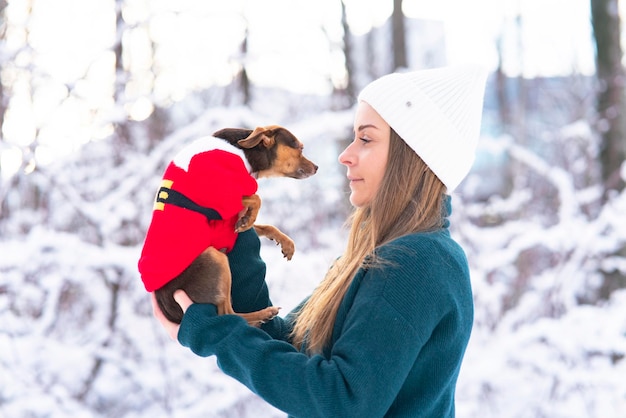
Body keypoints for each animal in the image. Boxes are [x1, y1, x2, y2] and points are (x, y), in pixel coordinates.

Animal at [142, 125, 316, 324]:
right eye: (300, 148)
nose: (316, 167)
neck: (244, 152)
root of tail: (171, 312)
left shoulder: (228, 223)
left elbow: (264, 226)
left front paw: (283, 242)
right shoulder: (225, 199)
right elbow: (256, 198)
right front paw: (250, 219)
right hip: (214, 258)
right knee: (227, 313)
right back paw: (263, 313)